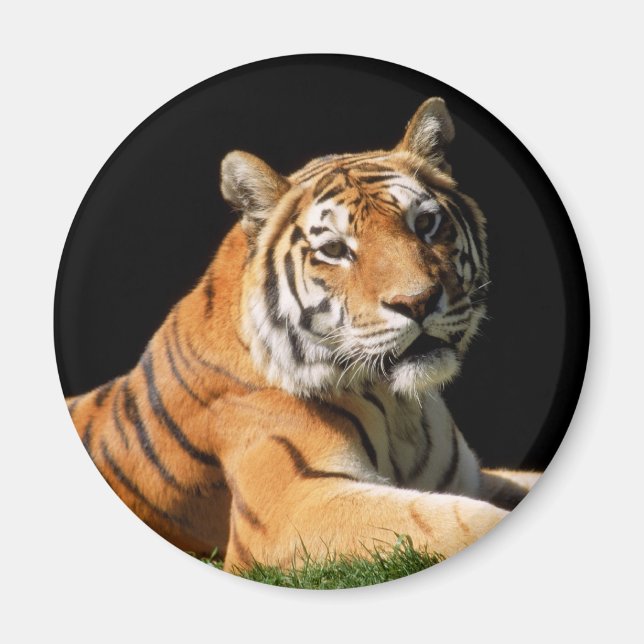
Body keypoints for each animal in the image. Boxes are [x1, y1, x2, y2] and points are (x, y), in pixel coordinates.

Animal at [65, 97, 540, 574]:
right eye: (334, 250)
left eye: (425, 223)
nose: (418, 302)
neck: (400, 408)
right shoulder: (294, 506)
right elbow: (456, 522)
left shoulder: (471, 476)